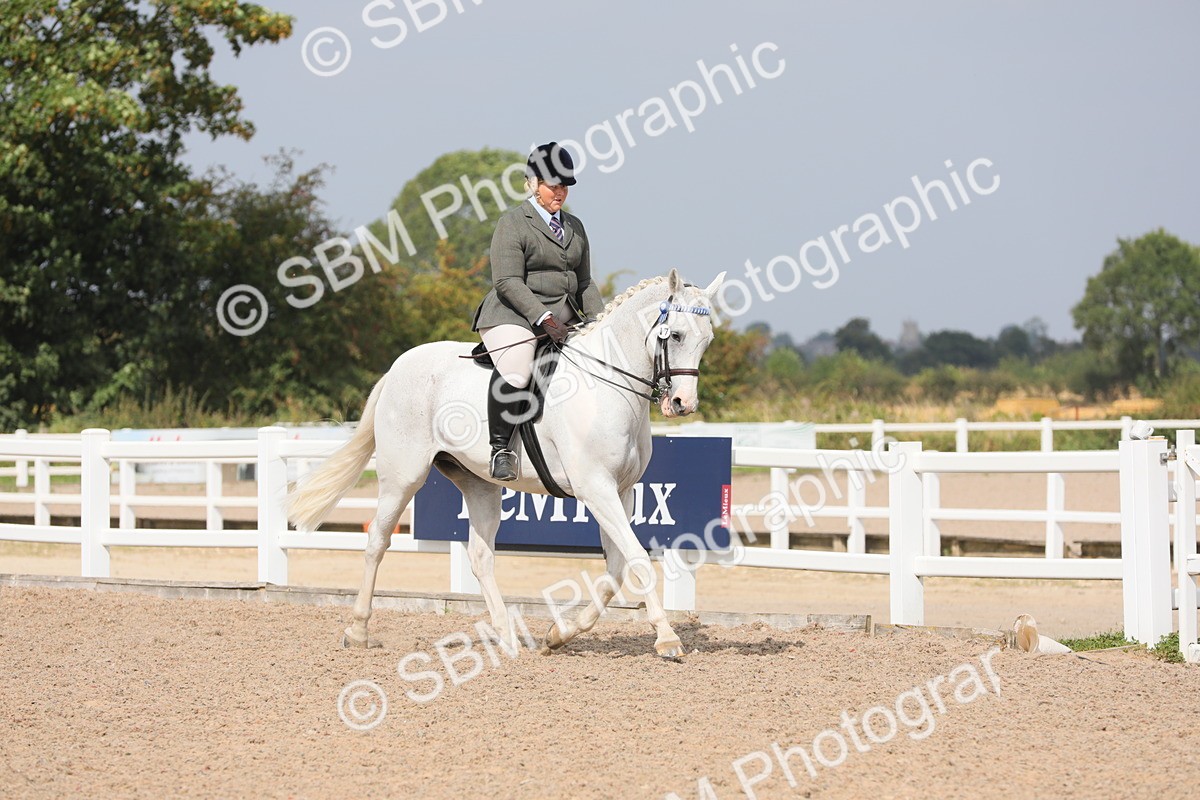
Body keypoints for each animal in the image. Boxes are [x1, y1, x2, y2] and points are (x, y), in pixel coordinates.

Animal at [286, 269, 725, 657]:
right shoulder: (596, 488)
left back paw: (507, 638)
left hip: (479, 484)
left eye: (707, 340)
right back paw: (358, 631)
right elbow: (638, 560)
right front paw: (667, 639)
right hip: (402, 477)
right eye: (677, 335)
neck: (607, 387)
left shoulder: (621, 491)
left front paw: (559, 635)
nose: (683, 404)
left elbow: (616, 569)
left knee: (481, 558)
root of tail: (397, 368)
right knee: (377, 541)